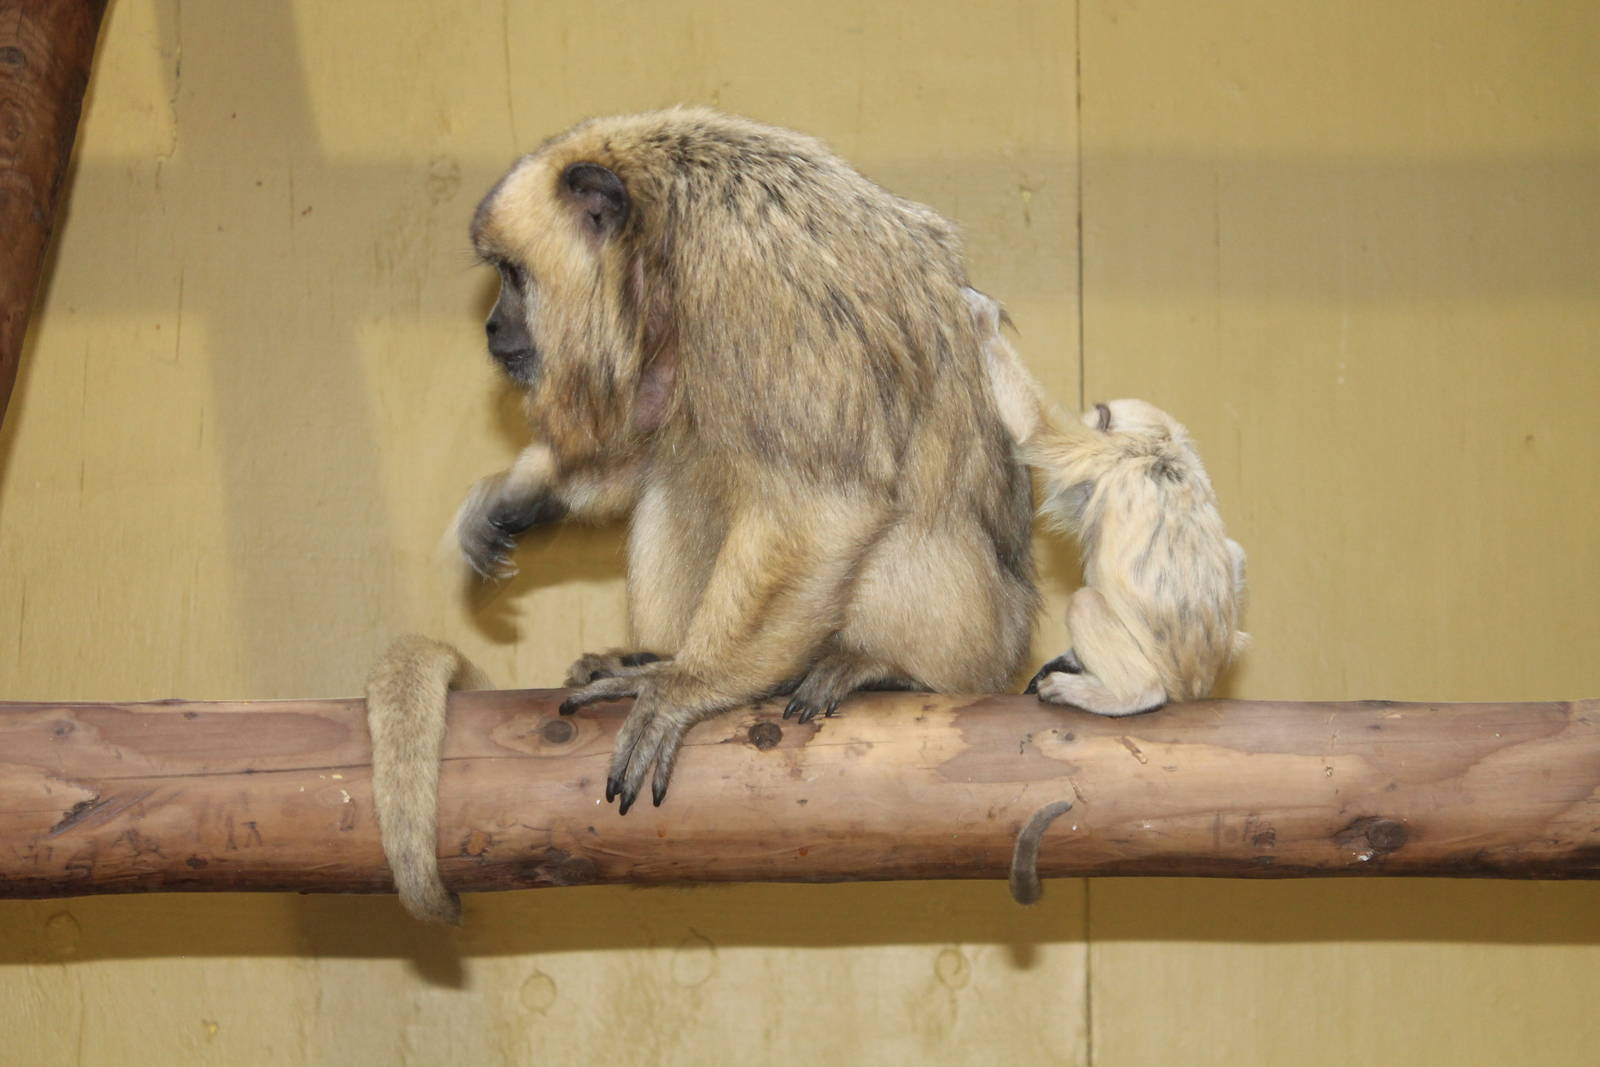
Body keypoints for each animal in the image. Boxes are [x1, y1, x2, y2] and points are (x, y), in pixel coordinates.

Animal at [454, 108, 1037, 814]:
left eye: (513, 274)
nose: (490, 326)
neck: (663, 245)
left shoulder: (756, 280)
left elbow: (820, 507)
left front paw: (686, 683)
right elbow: (641, 451)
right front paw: (520, 492)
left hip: (985, 644)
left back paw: (886, 670)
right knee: (678, 475)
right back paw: (646, 652)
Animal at [964, 287, 1247, 717]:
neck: (1159, 446)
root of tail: (1197, 680)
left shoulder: (1101, 453)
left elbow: (1034, 430)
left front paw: (983, 322)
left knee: (1087, 605)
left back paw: (1132, 694)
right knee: (1234, 551)